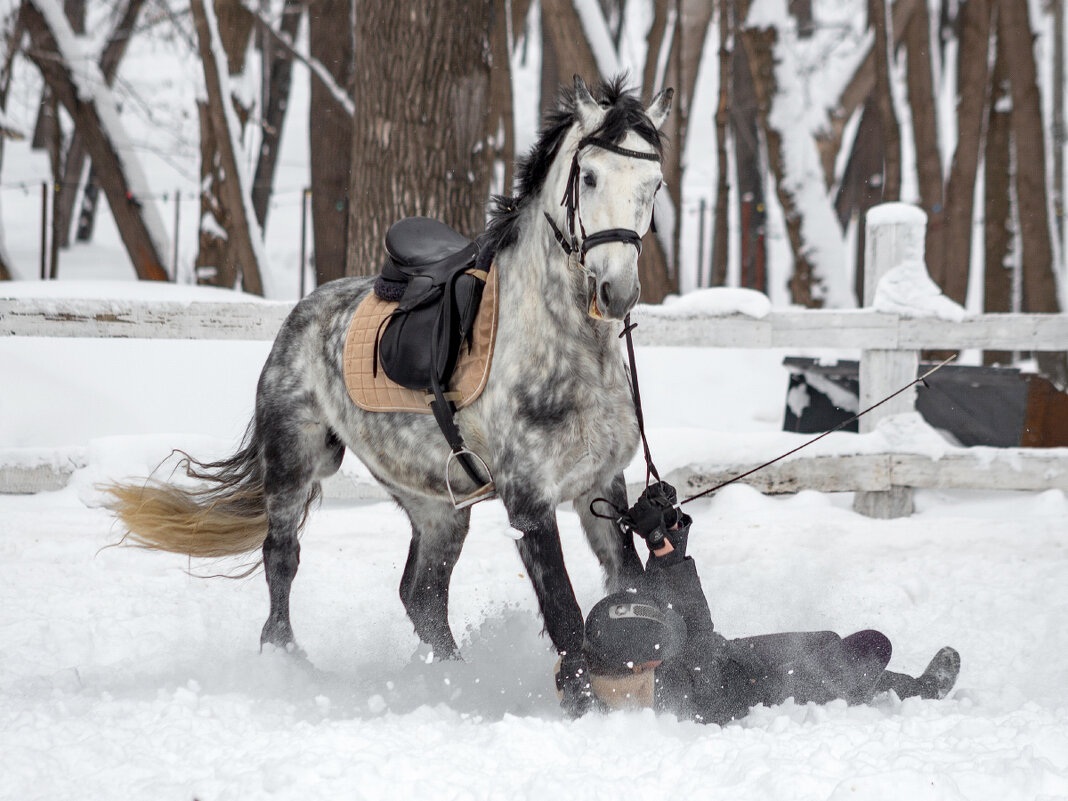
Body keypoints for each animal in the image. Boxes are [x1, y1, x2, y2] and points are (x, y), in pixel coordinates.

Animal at [110, 75, 674, 713]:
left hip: (437, 506)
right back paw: (287, 663)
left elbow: (628, 586)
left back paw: (450, 683)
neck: (563, 349)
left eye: (653, 185)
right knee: (282, 558)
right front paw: (583, 707)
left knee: (421, 595)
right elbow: (565, 616)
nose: (617, 291)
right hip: (296, 462)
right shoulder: (528, 501)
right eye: (591, 177)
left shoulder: (600, 488)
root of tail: (303, 310)